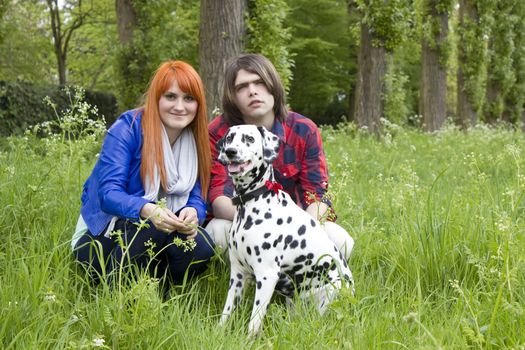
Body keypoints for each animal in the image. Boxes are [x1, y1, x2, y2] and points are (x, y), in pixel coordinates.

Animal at [217, 125, 352, 336]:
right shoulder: (238, 275)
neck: (253, 202)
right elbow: (226, 313)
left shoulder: (266, 276)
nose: (231, 151)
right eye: (230, 138)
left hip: (331, 291)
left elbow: (254, 322)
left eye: (249, 138)